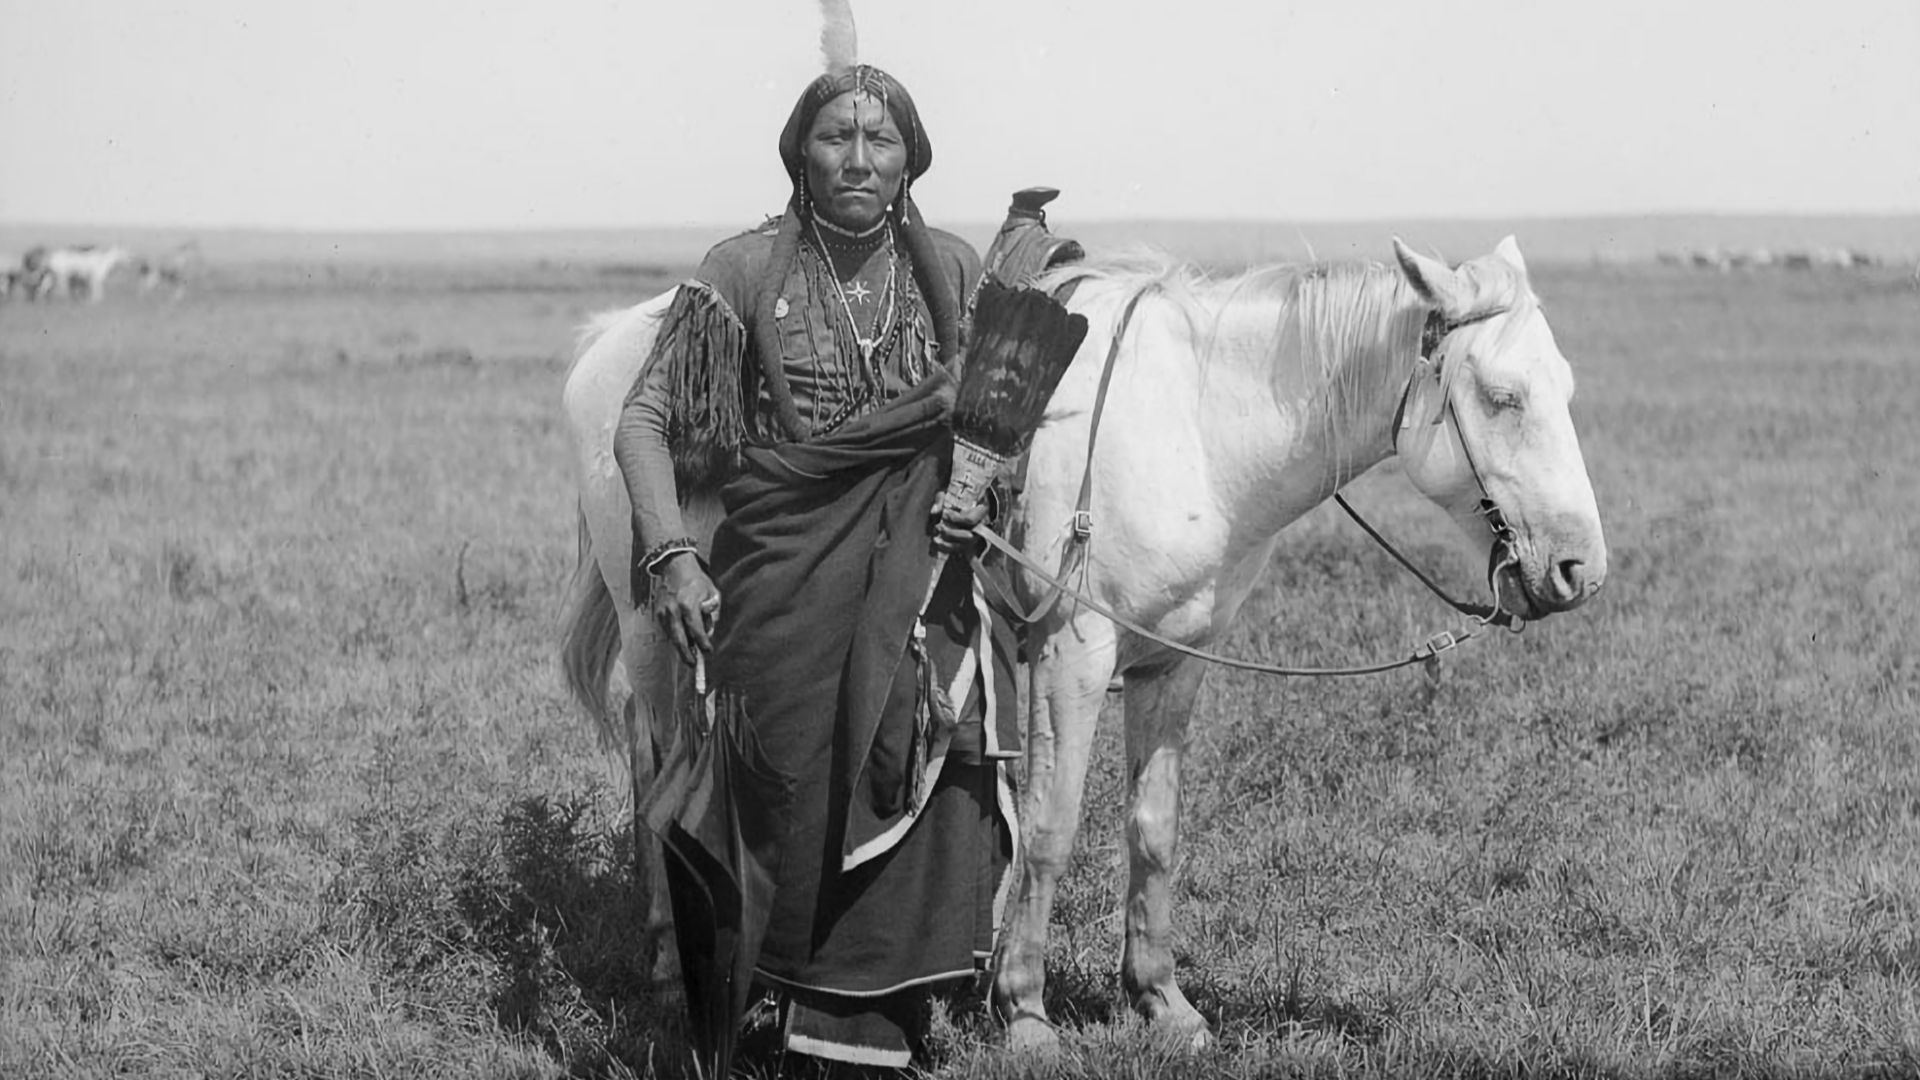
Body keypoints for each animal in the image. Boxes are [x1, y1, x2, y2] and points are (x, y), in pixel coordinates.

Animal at [556, 236, 1608, 1045]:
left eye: (1565, 387)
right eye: (1503, 396)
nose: (1579, 571)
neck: (1199, 428)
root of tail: (614, 342)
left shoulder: (1174, 663)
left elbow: (1154, 827)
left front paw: (1162, 1001)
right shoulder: (1075, 654)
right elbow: (1053, 827)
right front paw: (1022, 1009)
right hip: (660, 627)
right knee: (660, 772)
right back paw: (673, 960)